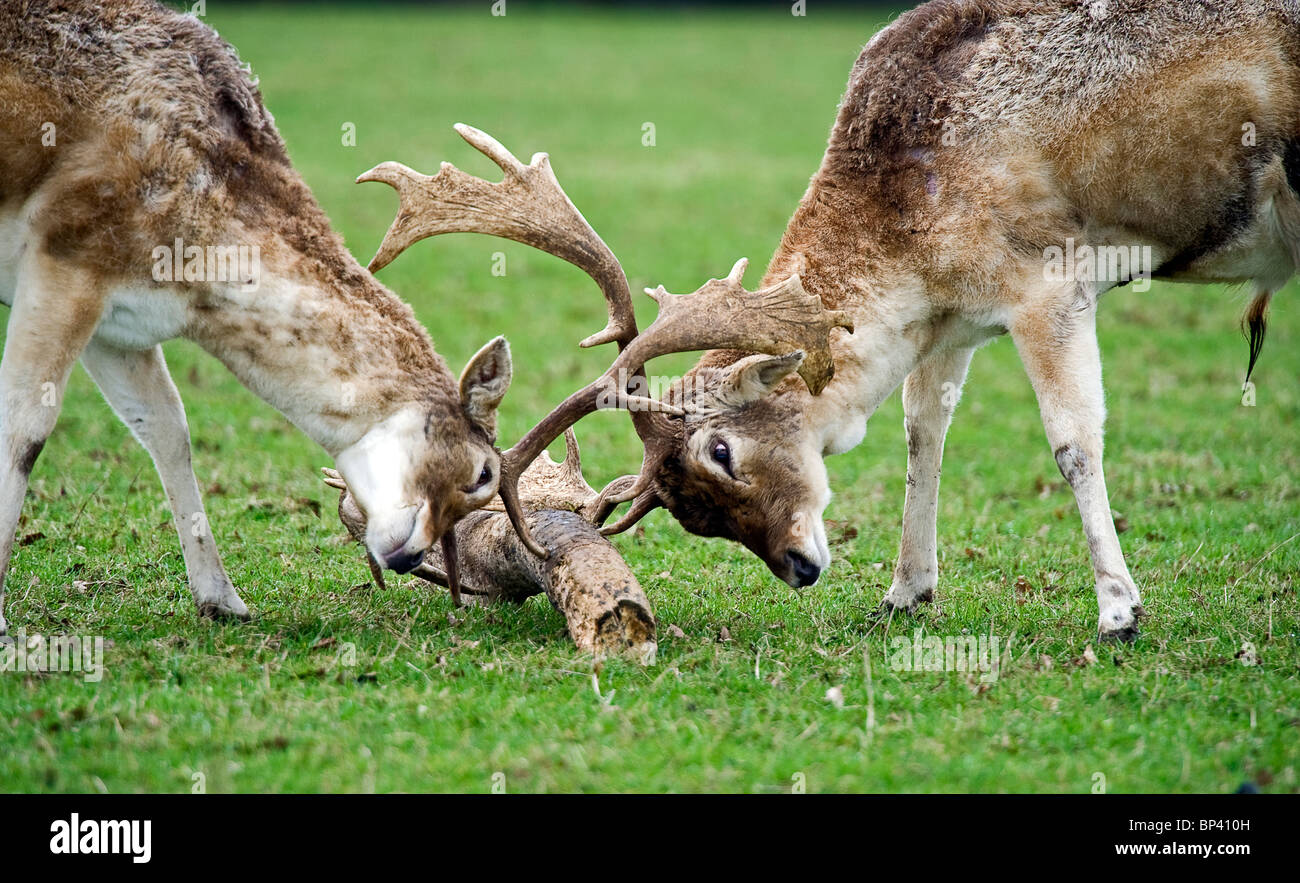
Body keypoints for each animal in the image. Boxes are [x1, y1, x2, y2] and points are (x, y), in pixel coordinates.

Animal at [0, 0, 518, 634]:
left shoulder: (121, 324)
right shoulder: (63, 252)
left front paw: (223, 600)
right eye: (483, 474)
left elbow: (167, 427)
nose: (409, 557)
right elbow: (24, 428)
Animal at [359, 0, 1299, 643]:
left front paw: (1118, 611)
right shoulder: (956, 319)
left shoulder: (1052, 282)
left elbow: (1073, 441)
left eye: (722, 451)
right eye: (694, 516)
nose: (801, 567)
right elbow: (924, 433)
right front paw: (905, 592)